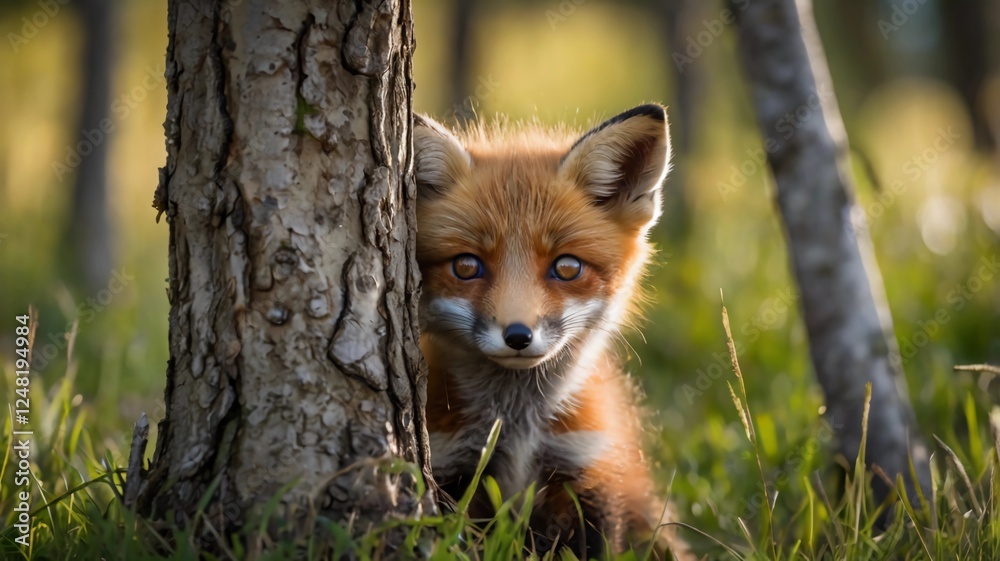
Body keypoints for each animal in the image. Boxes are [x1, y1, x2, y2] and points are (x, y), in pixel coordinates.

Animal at [413, 104, 691, 560]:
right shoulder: (453, 469)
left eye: (567, 267)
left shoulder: (587, 472)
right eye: (466, 266)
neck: (517, 427)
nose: (518, 336)